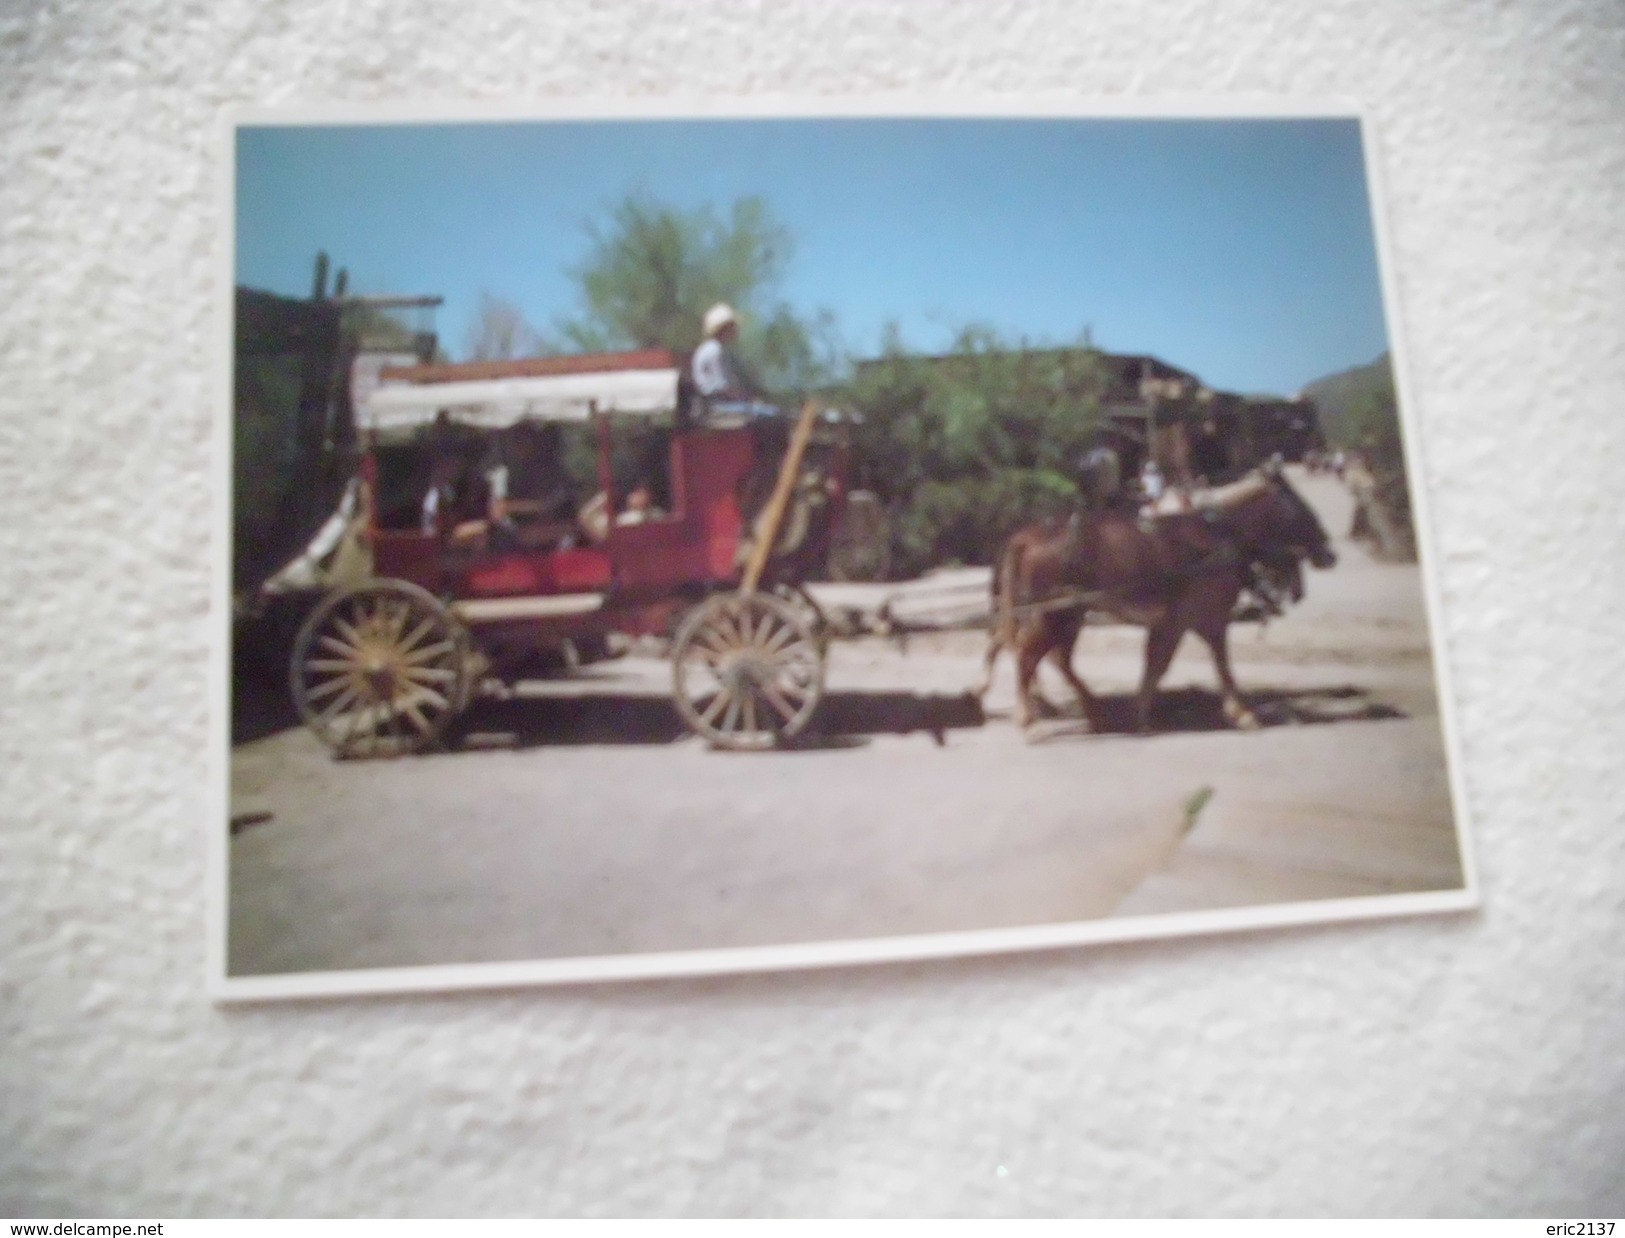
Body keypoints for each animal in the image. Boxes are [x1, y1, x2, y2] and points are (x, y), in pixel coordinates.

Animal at [975, 464, 1332, 734]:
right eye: (1298, 504)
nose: (1330, 553)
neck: (1216, 536)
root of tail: (1026, 536)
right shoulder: (1202, 618)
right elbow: (1206, 664)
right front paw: (1242, 713)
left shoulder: (1177, 623)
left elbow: (1158, 665)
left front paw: (1140, 714)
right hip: (1053, 616)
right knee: (1027, 655)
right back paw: (1029, 717)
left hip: (1064, 616)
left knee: (1045, 656)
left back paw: (1088, 710)